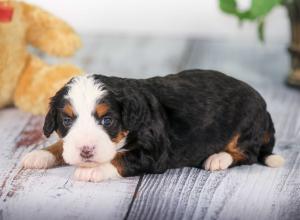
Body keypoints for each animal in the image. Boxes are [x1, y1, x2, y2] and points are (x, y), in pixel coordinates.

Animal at [21, 69, 284, 181]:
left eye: (107, 120)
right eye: (67, 119)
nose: (86, 151)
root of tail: (265, 108)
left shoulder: (154, 152)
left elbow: (121, 159)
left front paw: (93, 170)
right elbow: (62, 144)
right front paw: (40, 154)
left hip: (246, 125)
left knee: (247, 154)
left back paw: (218, 158)